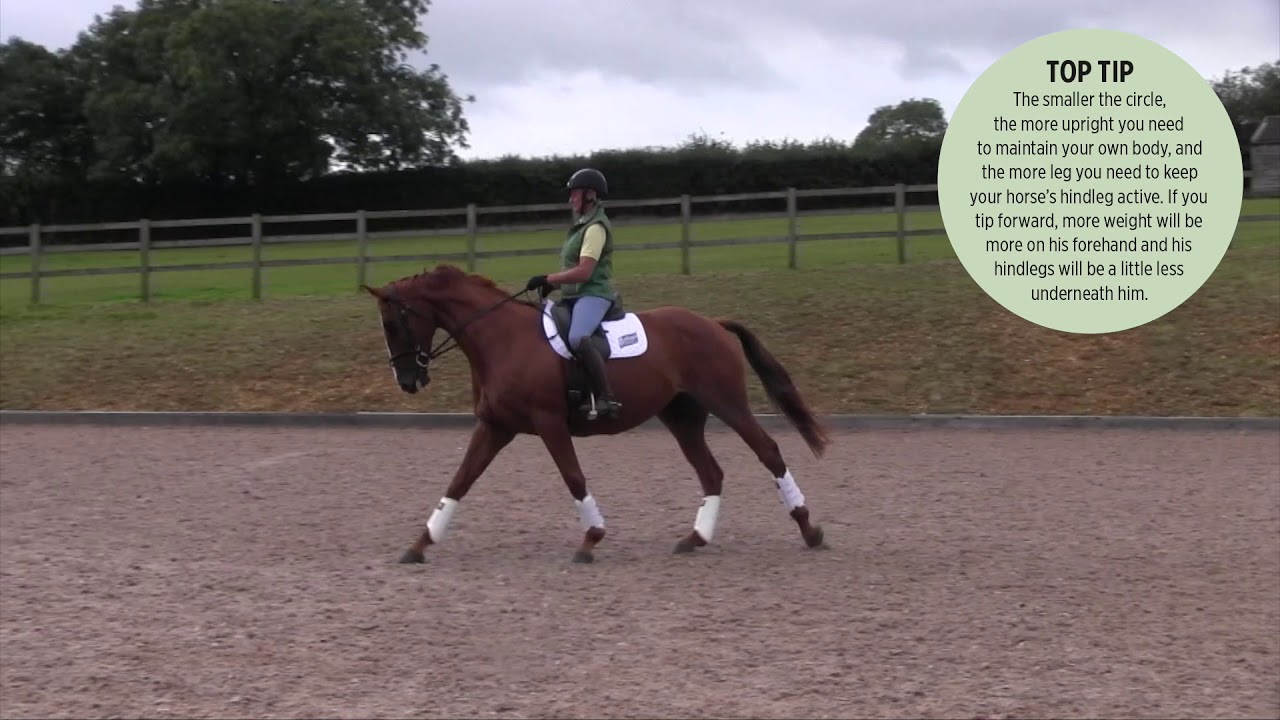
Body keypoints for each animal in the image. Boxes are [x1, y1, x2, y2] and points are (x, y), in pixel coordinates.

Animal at [361, 263, 831, 564]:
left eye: (392, 323)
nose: (408, 380)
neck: (501, 339)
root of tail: (712, 323)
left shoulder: (548, 422)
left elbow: (573, 477)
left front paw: (591, 539)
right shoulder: (495, 427)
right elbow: (459, 481)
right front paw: (420, 544)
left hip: (727, 404)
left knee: (768, 451)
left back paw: (809, 530)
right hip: (682, 417)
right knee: (711, 472)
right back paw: (695, 538)